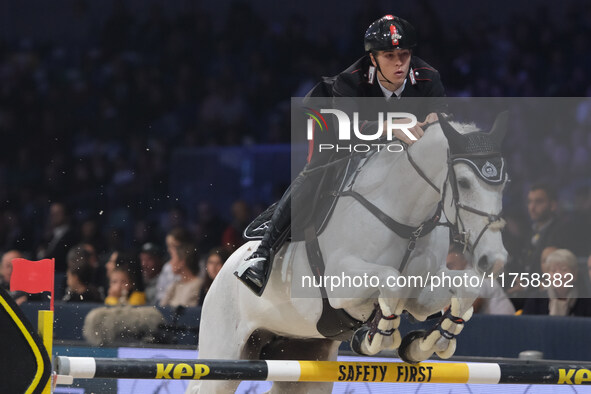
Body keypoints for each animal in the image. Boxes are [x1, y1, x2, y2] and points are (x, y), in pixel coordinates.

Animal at [188, 112, 508, 392]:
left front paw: (429, 343)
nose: (494, 260)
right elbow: (392, 280)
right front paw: (376, 337)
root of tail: (221, 273)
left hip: (303, 357)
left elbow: (464, 287)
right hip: (225, 354)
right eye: (464, 182)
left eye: (504, 183)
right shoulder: (342, 284)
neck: (408, 222)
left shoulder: (421, 293)